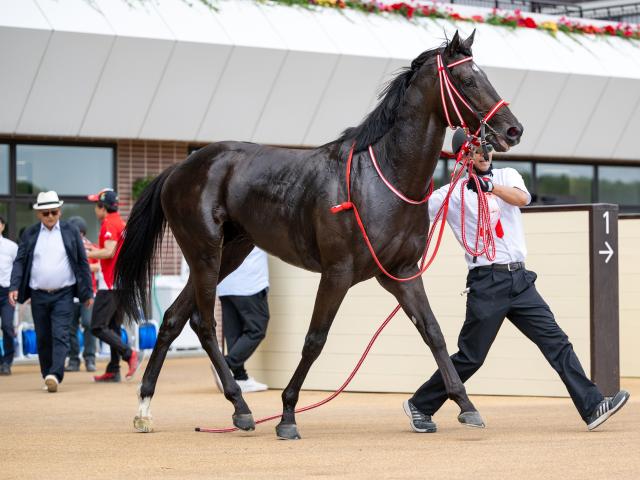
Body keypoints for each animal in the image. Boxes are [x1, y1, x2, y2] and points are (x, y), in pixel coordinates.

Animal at [116, 31, 520, 438]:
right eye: (466, 80)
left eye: (483, 75)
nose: (512, 129)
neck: (382, 177)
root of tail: (179, 168)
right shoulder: (337, 272)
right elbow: (315, 340)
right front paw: (287, 414)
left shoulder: (402, 272)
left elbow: (433, 331)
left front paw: (467, 406)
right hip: (205, 251)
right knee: (204, 322)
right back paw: (240, 407)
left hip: (232, 251)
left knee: (173, 318)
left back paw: (147, 407)